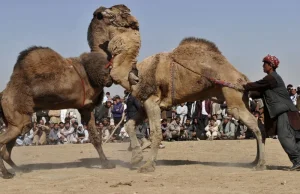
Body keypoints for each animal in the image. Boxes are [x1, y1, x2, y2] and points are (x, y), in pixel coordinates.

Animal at [0, 45, 115, 179]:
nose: (110, 79)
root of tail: (2, 95)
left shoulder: (86, 107)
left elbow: (95, 138)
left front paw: (106, 163)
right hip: (17, 119)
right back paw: (6, 173)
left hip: (14, 124)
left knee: (9, 147)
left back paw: (18, 169)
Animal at [87, 4, 264, 173]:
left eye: (113, 10)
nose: (99, 11)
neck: (135, 73)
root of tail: (243, 78)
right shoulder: (146, 103)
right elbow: (129, 125)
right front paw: (136, 158)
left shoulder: (152, 100)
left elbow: (156, 133)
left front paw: (148, 166)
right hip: (239, 97)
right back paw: (254, 161)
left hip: (233, 96)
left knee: (254, 123)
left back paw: (260, 164)